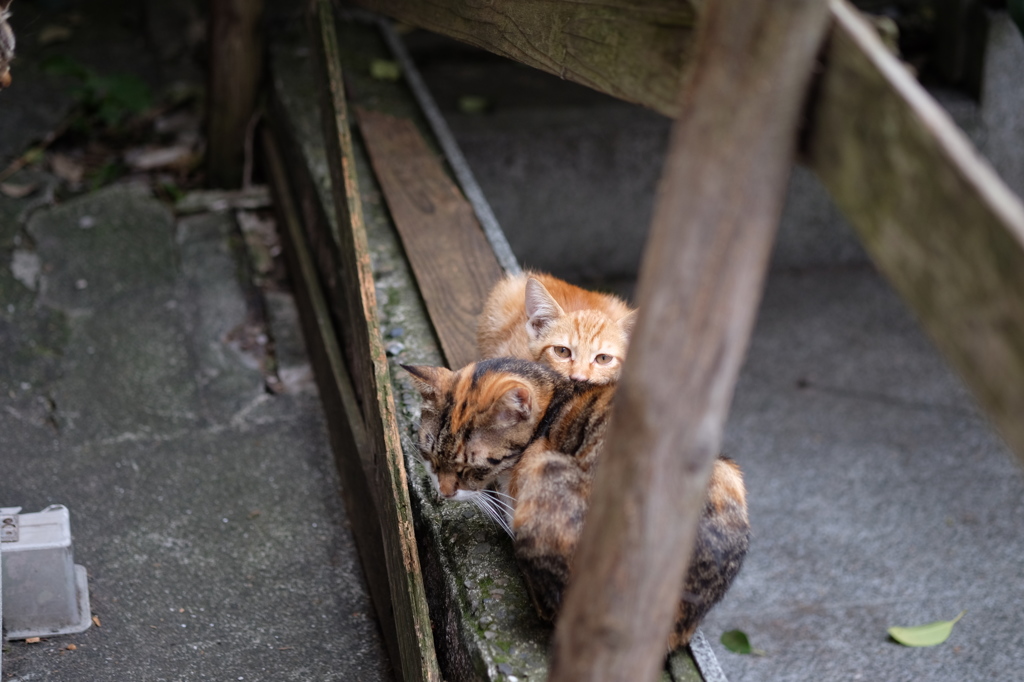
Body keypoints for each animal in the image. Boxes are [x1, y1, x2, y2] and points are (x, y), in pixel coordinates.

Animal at [403, 356, 749, 643]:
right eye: (430, 457)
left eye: (472, 468)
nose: (444, 491)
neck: (556, 402)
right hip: (726, 470)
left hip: (547, 472)